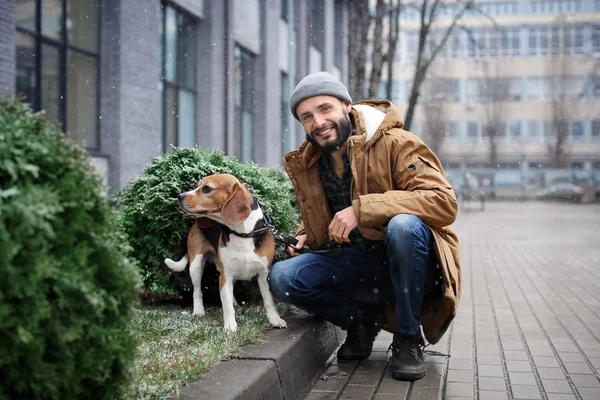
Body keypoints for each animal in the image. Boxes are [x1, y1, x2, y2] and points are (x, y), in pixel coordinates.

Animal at [163, 173, 288, 332]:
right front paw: (230, 326)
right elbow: (226, 305)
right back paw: (198, 311)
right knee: (197, 291)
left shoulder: (263, 274)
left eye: (206, 188)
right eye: (198, 186)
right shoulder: (225, 275)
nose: (179, 195)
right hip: (196, 265)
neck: (243, 233)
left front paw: (275, 320)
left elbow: (269, 301)